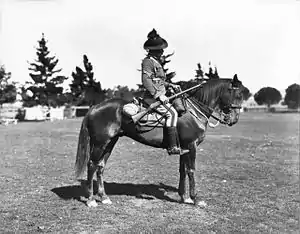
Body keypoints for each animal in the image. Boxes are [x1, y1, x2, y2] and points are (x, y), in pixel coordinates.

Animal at [74, 74, 245, 207]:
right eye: (237, 95)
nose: (234, 119)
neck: (192, 111)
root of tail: (94, 107)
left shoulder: (184, 148)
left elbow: (182, 170)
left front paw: (185, 197)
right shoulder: (192, 146)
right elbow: (191, 170)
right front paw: (196, 199)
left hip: (110, 143)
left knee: (100, 167)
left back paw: (104, 197)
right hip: (100, 144)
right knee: (92, 165)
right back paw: (91, 200)